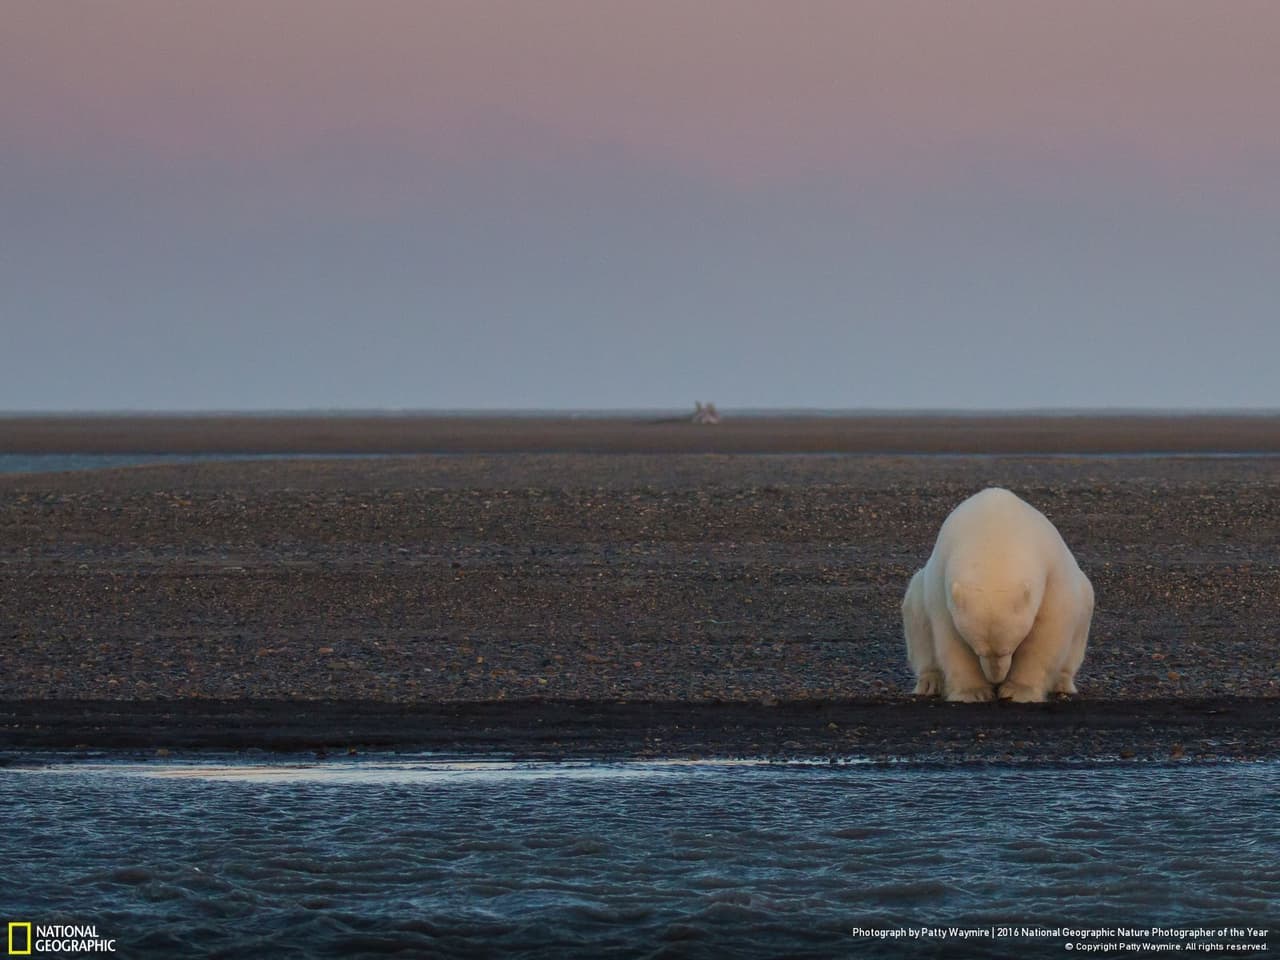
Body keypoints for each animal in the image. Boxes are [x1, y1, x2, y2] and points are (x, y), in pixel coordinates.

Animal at [902, 487, 1094, 703]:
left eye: (1007, 650)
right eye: (978, 650)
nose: (995, 679)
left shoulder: (1052, 573)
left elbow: (1046, 633)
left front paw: (1019, 691)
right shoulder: (941, 583)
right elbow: (951, 638)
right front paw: (973, 692)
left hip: (1084, 599)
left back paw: (1062, 683)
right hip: (918, 593)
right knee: (917, 620)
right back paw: (929, 682)